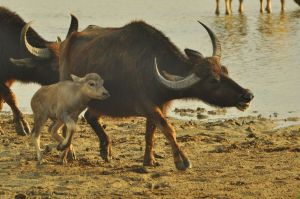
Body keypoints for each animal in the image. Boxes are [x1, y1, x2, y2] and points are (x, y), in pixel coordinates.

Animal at [14, 19, 253, 169]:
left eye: (225, 70)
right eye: (213, 80)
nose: (247, 95)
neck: (152, 69)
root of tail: (68, 41)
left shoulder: (158, 106)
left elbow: (151, 134)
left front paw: (149, 160)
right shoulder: (149, 106)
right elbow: (169, 130)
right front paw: (182, 162)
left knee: (91, 117)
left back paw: (105, 150)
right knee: (72, 122)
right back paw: (68, 154)